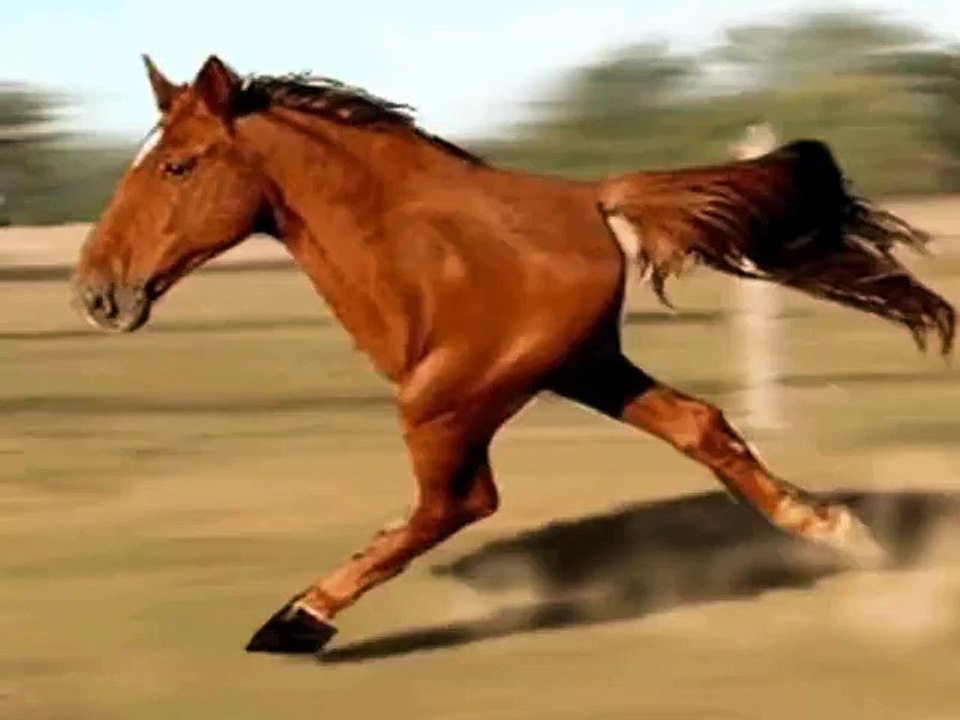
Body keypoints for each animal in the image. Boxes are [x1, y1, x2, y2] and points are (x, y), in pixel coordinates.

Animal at [72, 54, 955, 656]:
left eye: (177, 164)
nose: (96, 292)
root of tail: (594, 199)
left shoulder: (453, 394)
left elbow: (449, 507)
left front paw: (298, 620)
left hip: (457, 396)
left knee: (459, 501)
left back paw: (297, 619)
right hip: (585, 367)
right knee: (700, 425)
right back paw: (839, 532)